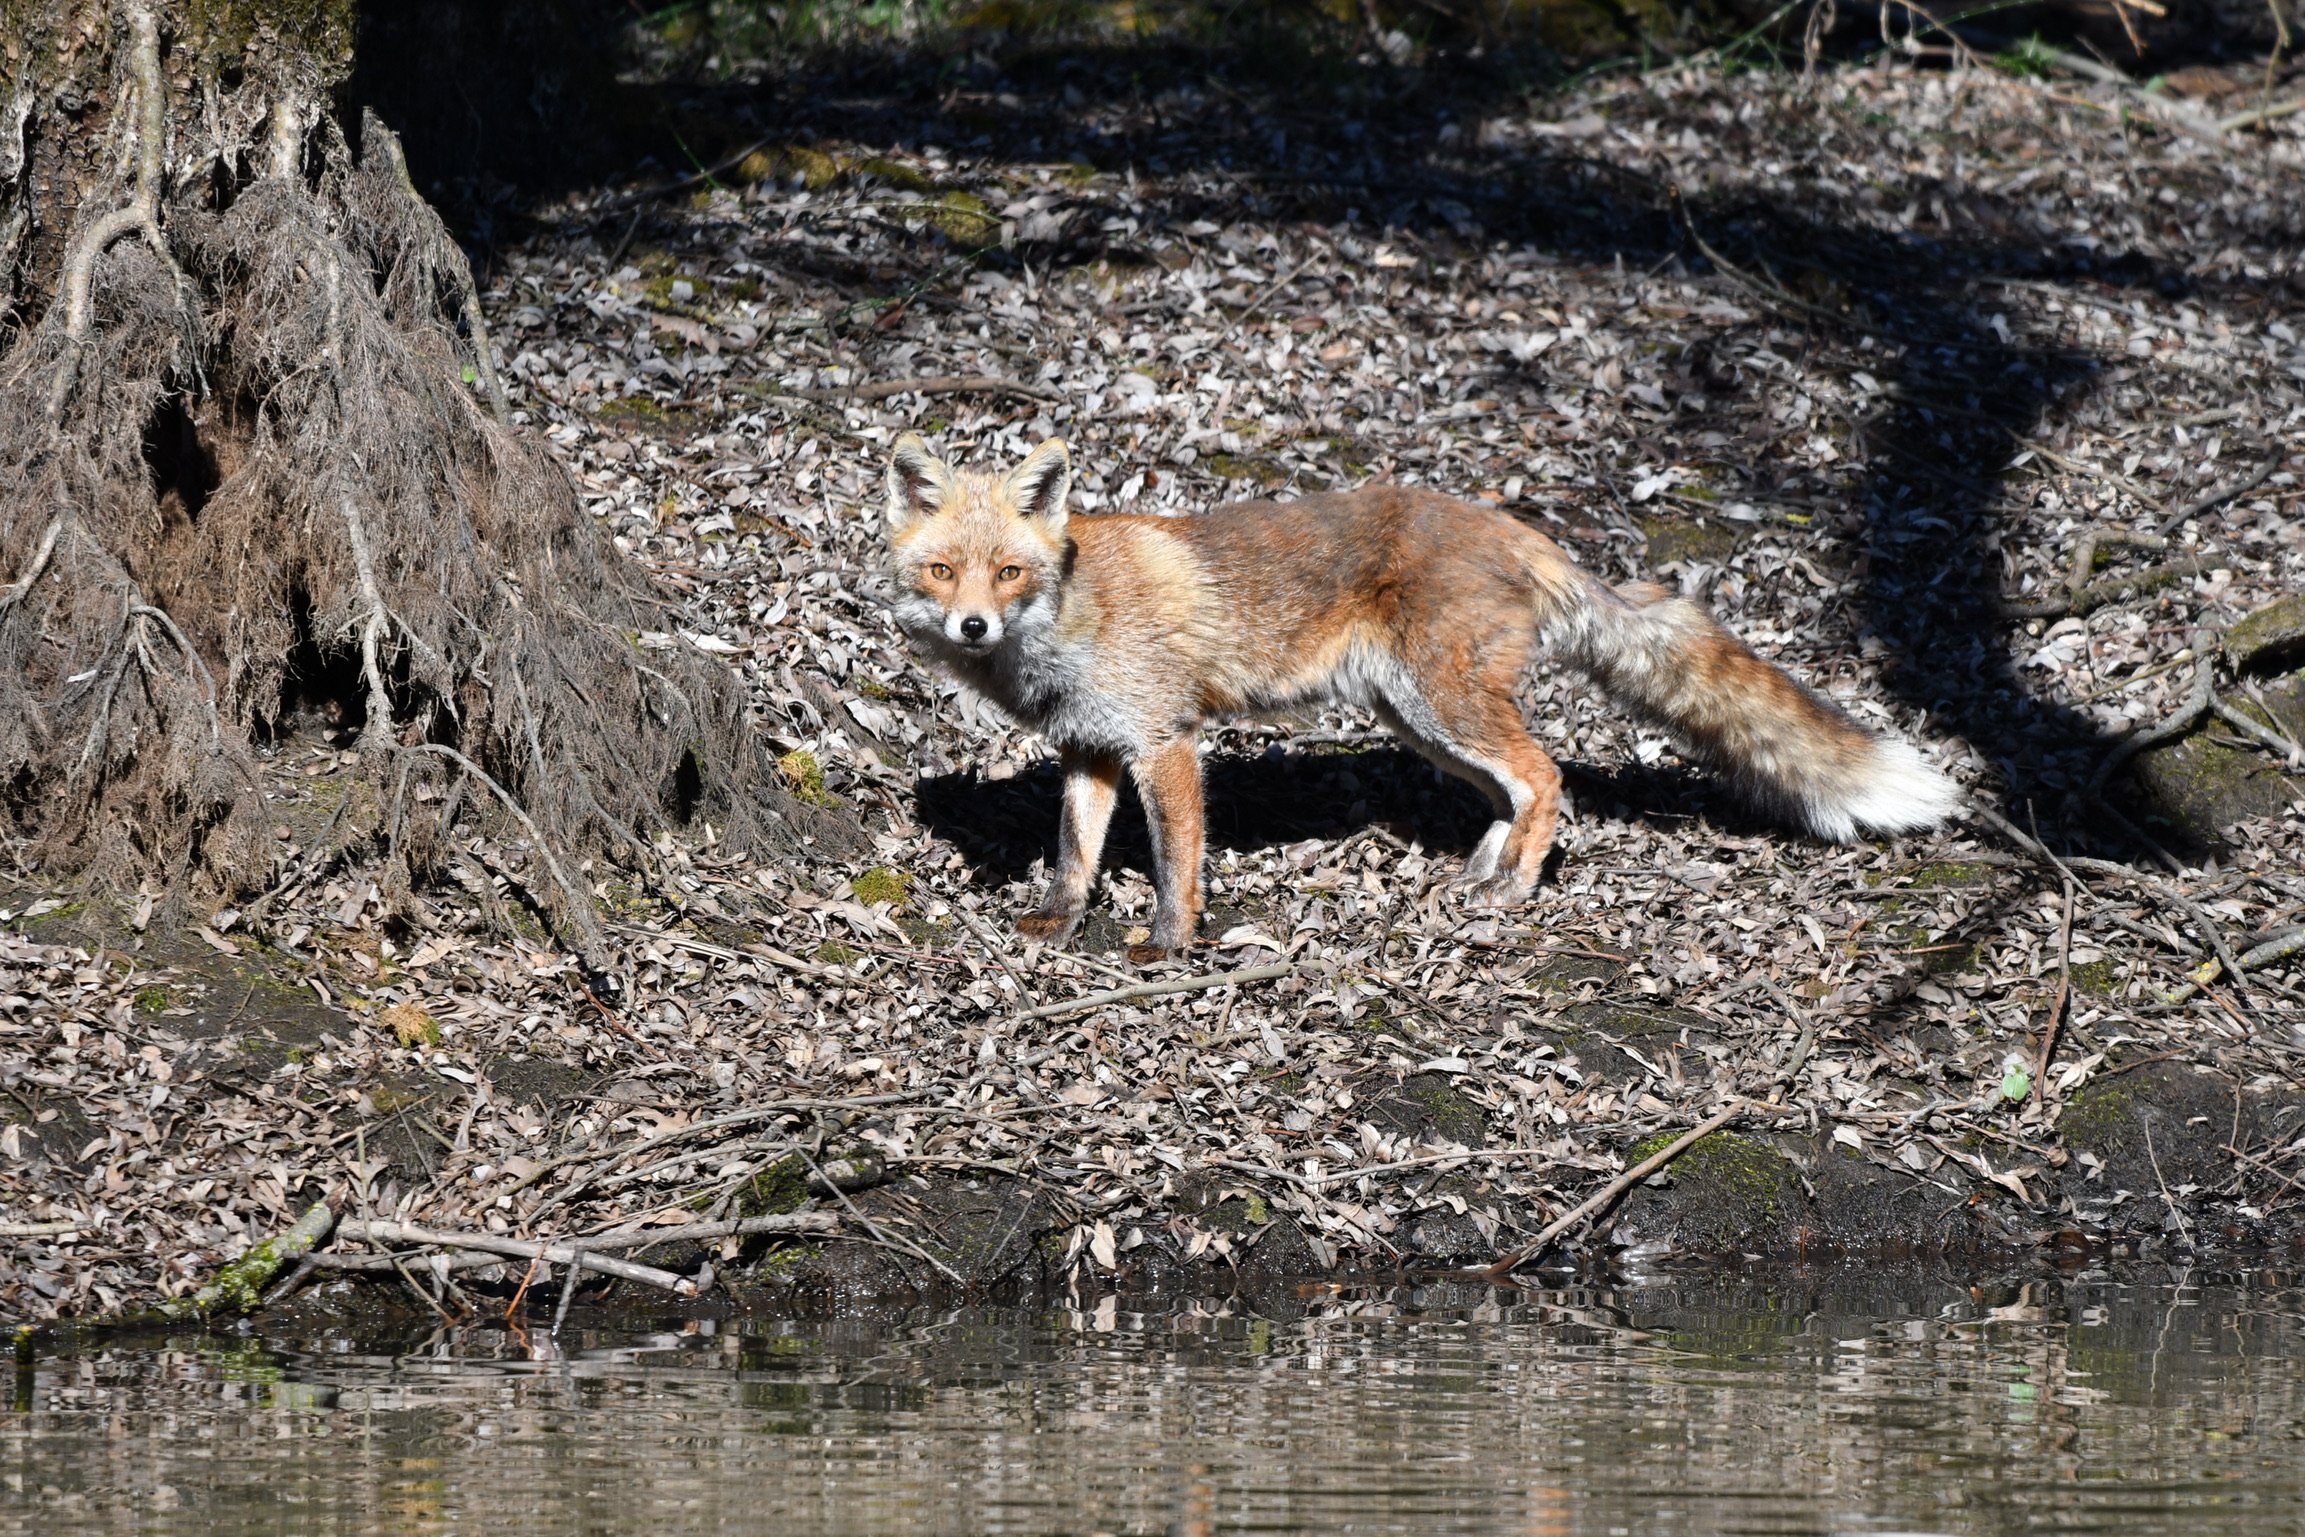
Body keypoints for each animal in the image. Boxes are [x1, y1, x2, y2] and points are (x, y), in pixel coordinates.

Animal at [882, 434, 1959, 965]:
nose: (972, 627)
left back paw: (1515, 890)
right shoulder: (1091, 750)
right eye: (942, 571)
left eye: (1009, 574)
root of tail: (1515, 527)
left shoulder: (1166, 741)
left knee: (1548, 775)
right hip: (1420, 720)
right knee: (1515, 789)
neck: (1070, 618)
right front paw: (1057, 926)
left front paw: (1168, 946)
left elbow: (1175, 863)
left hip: (1442, 706)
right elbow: (1073, 855)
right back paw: (1487, 871)